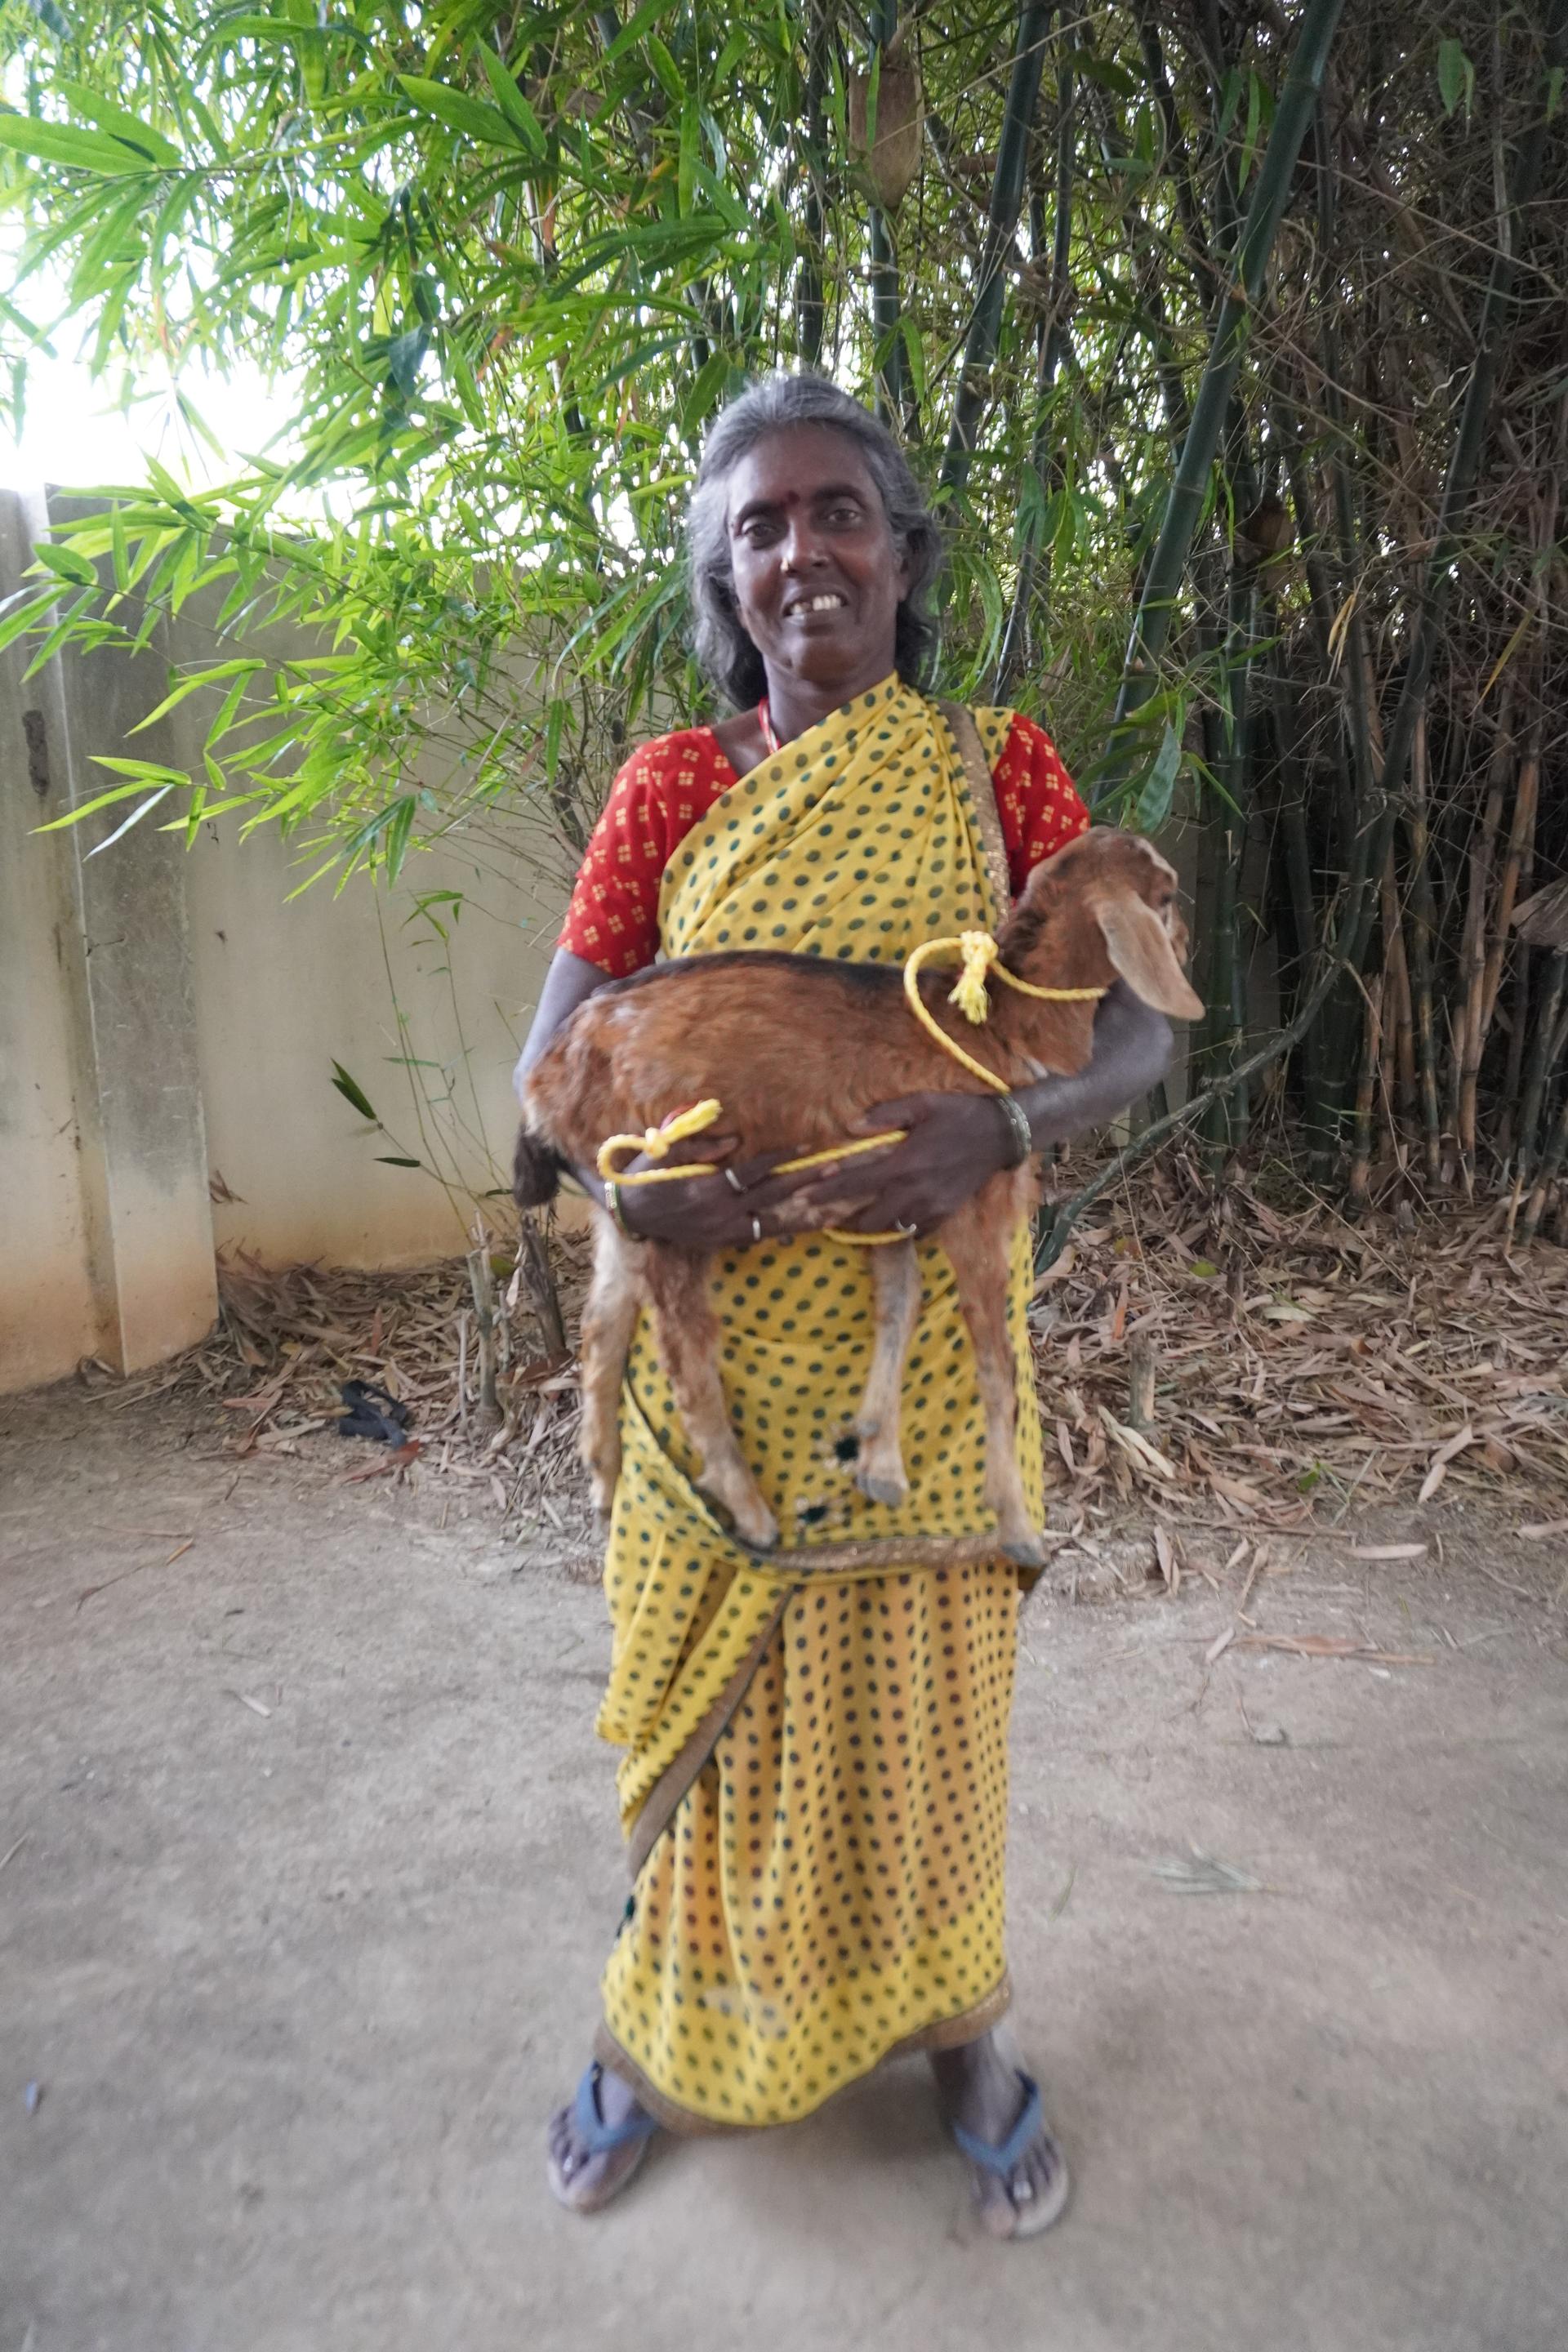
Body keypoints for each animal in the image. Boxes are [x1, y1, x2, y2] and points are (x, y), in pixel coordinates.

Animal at [514, 829, 1201, 1564]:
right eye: (1165, 896)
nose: (1189, 944)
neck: (1002, 1026)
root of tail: (545, 1080)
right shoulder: (975, 1200)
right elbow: (998, 1368)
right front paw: (1017, 1529)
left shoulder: (892, 1197)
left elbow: (899, 1304)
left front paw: (879, 1462)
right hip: (671, 1198)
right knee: (686, 1365)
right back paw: (750, 1514)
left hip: (620, 1205)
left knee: (602, 1323)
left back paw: (605, 1479)